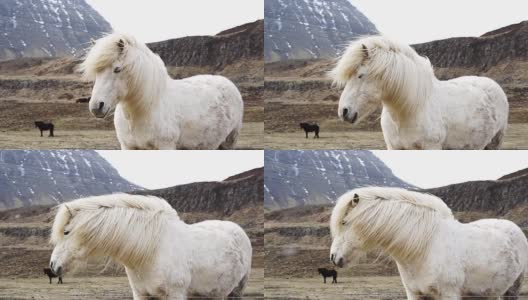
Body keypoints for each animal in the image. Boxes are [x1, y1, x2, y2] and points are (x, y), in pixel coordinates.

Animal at [49, 193, 252, 298]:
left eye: (66, 232)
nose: (52, 266)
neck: (152, 252)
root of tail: (238, 230)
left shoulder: (175, 294)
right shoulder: (141, 294)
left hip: (237, 290)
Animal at [79, 33, 244, 149]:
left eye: (117, 69)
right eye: (96, 72)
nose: (96, 107)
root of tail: (228, 83)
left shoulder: (166, 146)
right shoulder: (128, 147)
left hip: (229, 143)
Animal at [330, 186, 528, 298]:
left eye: (344, 222)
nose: (333, 257)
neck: (425, 249)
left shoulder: (449, 294)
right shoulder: (415, 294)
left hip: (512, 289)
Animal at [332, 36, 510, 150]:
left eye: (360, 75)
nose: (344, 111)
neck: (409, 111)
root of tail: (494, 85)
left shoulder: (431, 147)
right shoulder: (394, 148)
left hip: (495, 144)